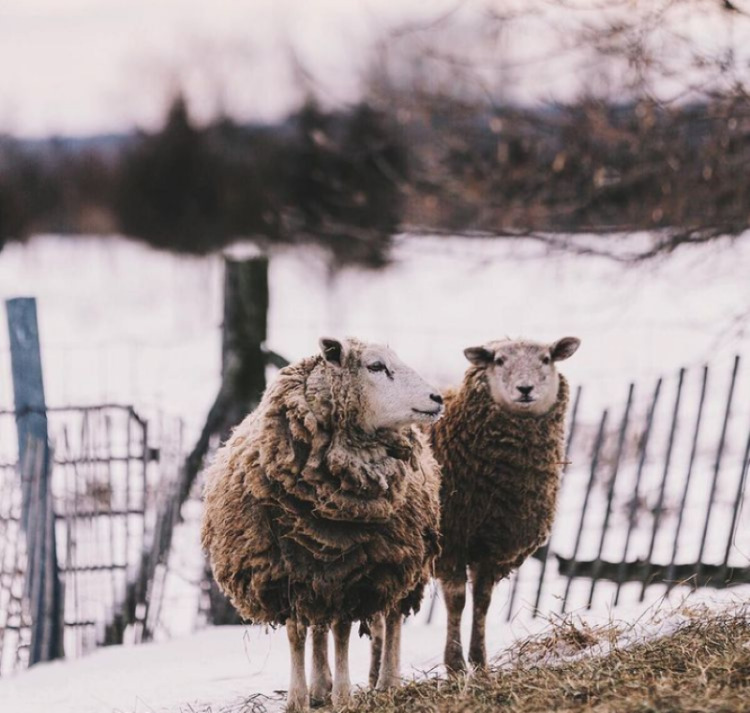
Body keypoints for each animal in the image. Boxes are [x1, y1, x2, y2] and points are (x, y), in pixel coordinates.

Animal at [203, 336, 444, 708]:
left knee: (391, 617)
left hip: (400, 561)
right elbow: (296, 633)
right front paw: (298, 698)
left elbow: (342, 632)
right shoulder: (287, 575)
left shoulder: (351, 576)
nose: (437, 398)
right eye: (376, 366)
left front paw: (343, 696)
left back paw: (387, 682)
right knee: (318, 626)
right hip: (319, 573)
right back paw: (320, 686)